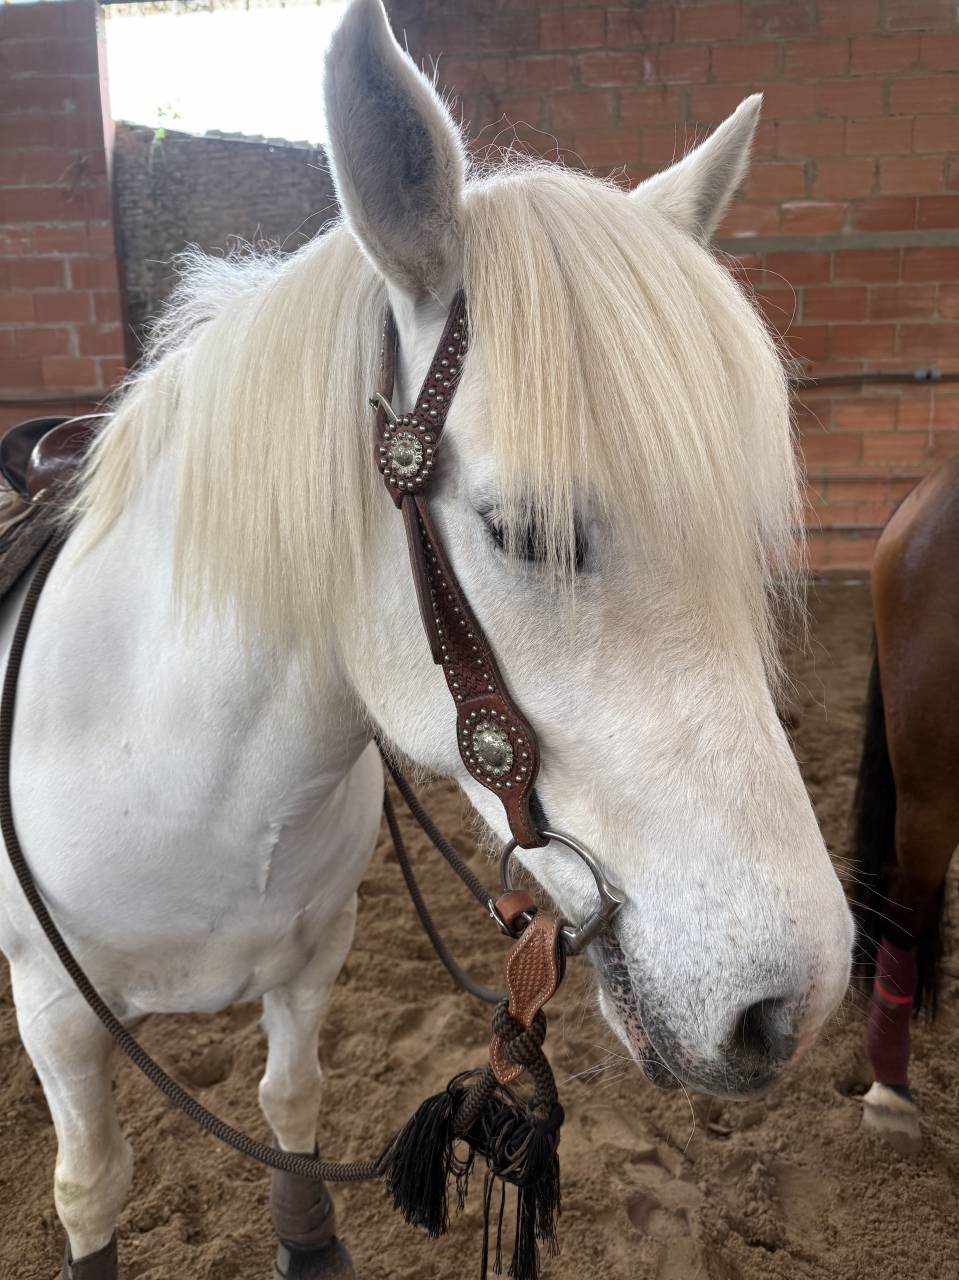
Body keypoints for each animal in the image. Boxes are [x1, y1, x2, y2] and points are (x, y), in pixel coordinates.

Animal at [0, 1, 854, 1275]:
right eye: (523, 531)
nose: (789, 1005)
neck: (164, 767)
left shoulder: (310, 962)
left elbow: (291, 1101)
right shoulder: (58, 1015)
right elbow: (91, 1181)